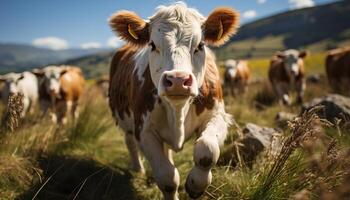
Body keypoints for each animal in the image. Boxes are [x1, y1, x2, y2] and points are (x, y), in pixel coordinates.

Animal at [107, 2, 238, 199]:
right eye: (152, 45)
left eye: (200, 45)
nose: (177, 80)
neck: (177, 111)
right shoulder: (143, 131)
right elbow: (167, 178)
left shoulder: (217, 116)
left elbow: (207, 150)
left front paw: (196, 184)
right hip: (125, 122)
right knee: (130, 143)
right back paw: (138, 169)